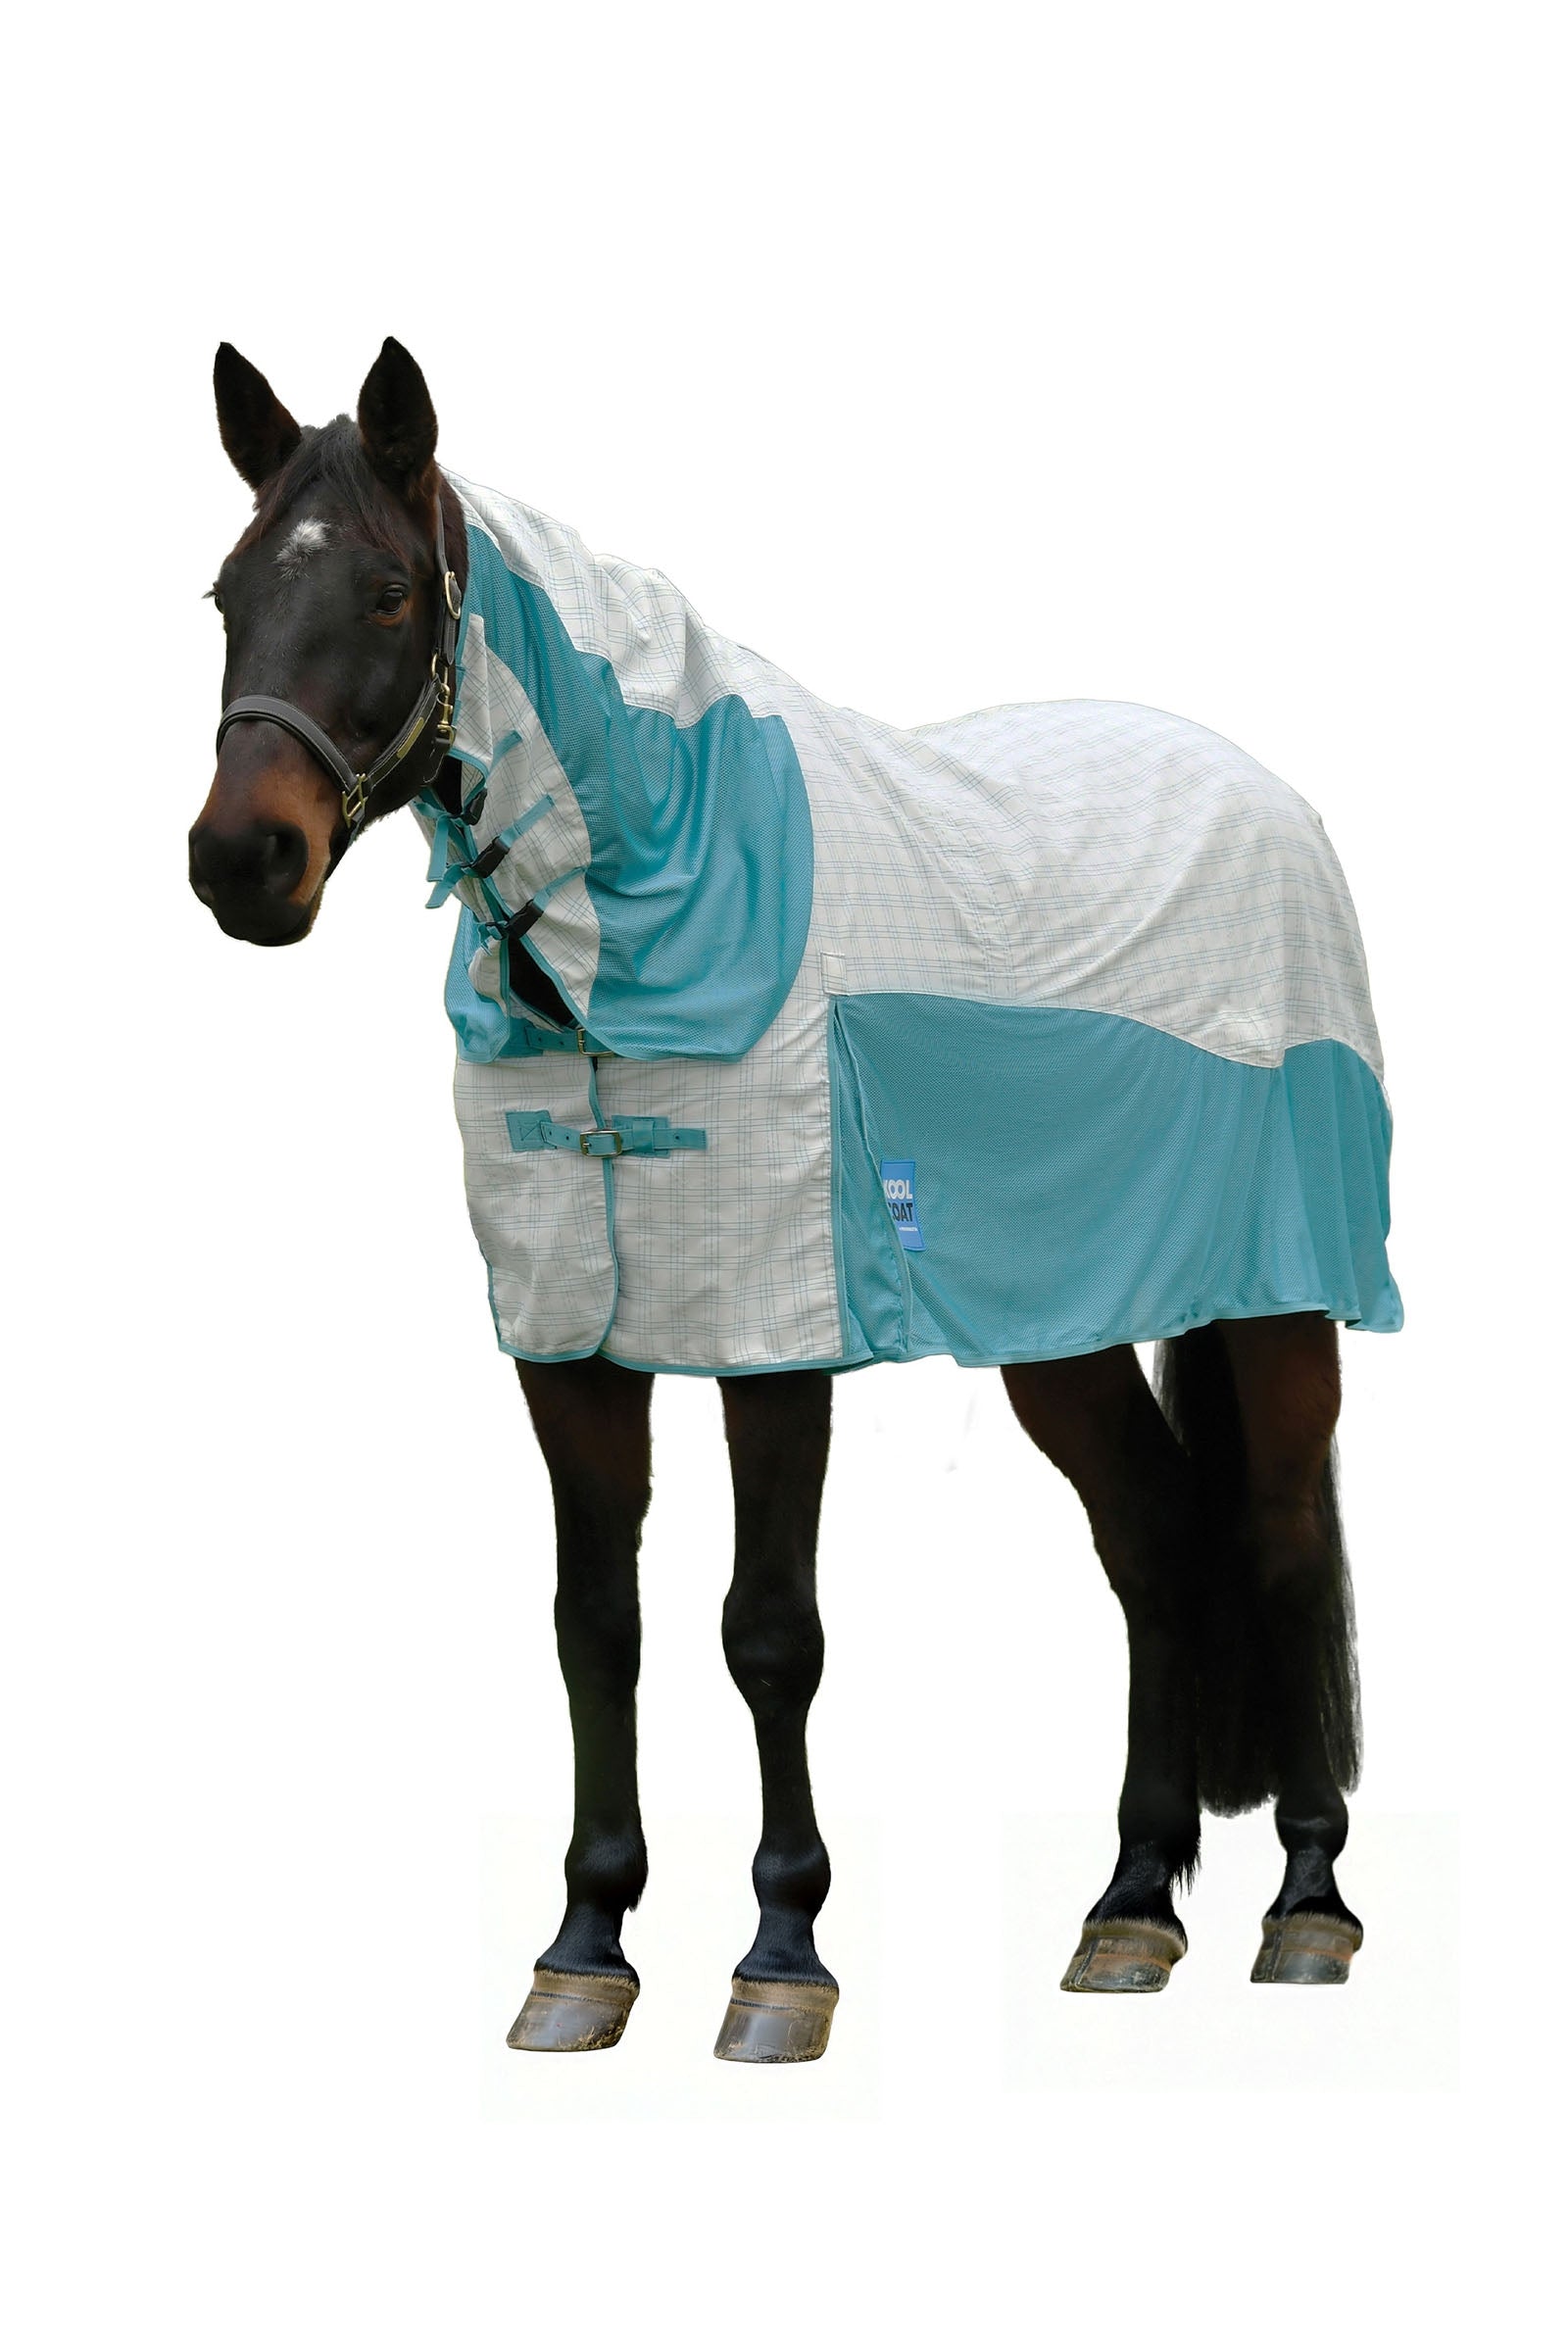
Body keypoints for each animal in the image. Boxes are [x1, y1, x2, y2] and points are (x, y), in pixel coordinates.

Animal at [189, 337, 1399, 2062]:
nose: (242, 862)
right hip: (1062, 1329)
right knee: (1157, 1539)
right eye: (226, 591)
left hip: (1283, 1299)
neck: (657, 888)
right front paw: (584, 1951)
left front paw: (781, 1960)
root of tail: (1269, 798)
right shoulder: (569, 1345)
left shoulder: (770, 1339)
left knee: (1282, 1539)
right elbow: (595, 1625)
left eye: (385, 590)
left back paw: (1305, 1907)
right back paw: (1128, 1911)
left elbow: (769, 1632)